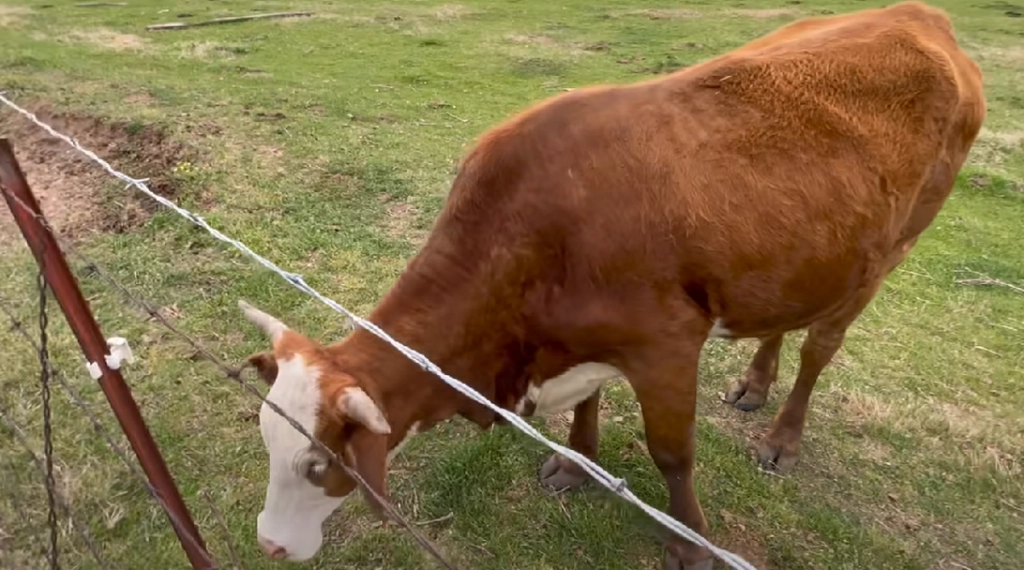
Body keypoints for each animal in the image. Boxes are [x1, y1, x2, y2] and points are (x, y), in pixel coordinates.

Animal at [237, 2, 985, 568]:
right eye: (267, 440)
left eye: (318, 464)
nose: (269, 543)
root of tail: (919, 14)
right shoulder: (578, 342)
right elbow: (587, 407)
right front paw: (578, 465)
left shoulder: (666, 345)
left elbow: (672, 454)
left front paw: (692, 544)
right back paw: (754, 382)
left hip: (894, 246)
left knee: (819, 347)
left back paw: (782, 437)